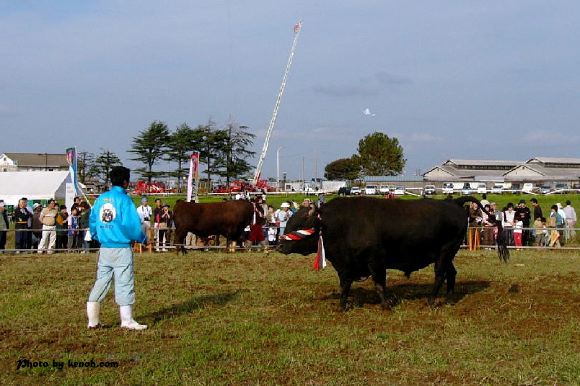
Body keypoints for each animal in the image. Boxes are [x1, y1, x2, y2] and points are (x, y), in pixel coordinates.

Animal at [278, 196, 508, 310]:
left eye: (300, 223)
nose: (279, 246)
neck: (339, 223)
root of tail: (452, 202)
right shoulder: (346, 266)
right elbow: (345, 286)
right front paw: (342, 306)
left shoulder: (376, 261)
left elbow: (380, 284)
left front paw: (387, 304)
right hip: (445, 254)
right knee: (451, 274)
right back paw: (449, 299)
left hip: (445, 252)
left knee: (440, 275)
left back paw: (431, 302)